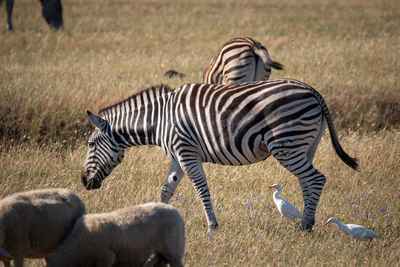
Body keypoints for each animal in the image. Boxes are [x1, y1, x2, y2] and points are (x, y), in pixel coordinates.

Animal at [79, 79, 358, 232]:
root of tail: (312, 90)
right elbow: (166, 189)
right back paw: (307, 224)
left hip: (286, 145)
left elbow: (201, 189)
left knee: (316, 179)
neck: (159, 121)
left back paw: (305, 227)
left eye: (91, 144)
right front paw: (157, 219)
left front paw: (212, 226)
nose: (83, 181)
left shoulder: (186, 151)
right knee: (306, 182)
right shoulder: (178, 155)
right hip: (305, 146)